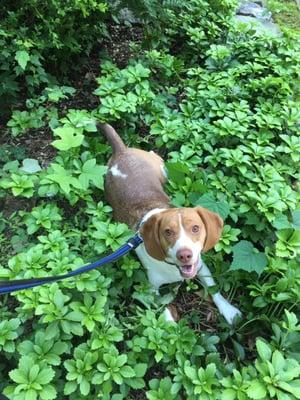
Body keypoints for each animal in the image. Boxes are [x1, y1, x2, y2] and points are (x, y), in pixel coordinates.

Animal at [101, 122, 241, 324]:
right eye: (167, 232)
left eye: (196, 228)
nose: (185, 255)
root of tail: (121, 152)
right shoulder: (151, 288)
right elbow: (162, 309)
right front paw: (171, 326)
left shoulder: (201, 266)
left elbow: (213, 289)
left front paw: (228, 310)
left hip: (163, 170)